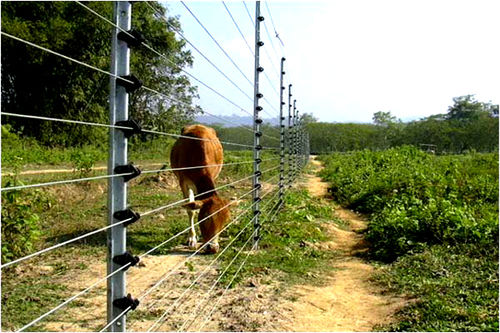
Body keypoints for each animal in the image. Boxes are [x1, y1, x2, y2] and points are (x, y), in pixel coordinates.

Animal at [169, 124, 229, 252]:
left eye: (224, 222)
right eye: (206, 218)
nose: (213, 248)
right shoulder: (184, 182)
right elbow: (191, 210)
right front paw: (192, 238)